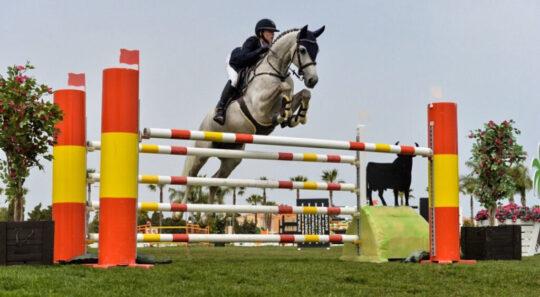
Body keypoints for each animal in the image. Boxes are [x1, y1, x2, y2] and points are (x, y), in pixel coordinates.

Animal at [181, 24, 324, 212]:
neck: (275, 71)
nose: (313, 80)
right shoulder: (259, 109)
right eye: (303, 50)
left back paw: (209, 214)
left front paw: (294, 117)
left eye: (317, 50)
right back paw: (179, 212)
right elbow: (283, 87)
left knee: (215, 181)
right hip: (203, 151)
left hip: (232, 159)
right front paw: (284, 114)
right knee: (192, 176)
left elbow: (303, 94)